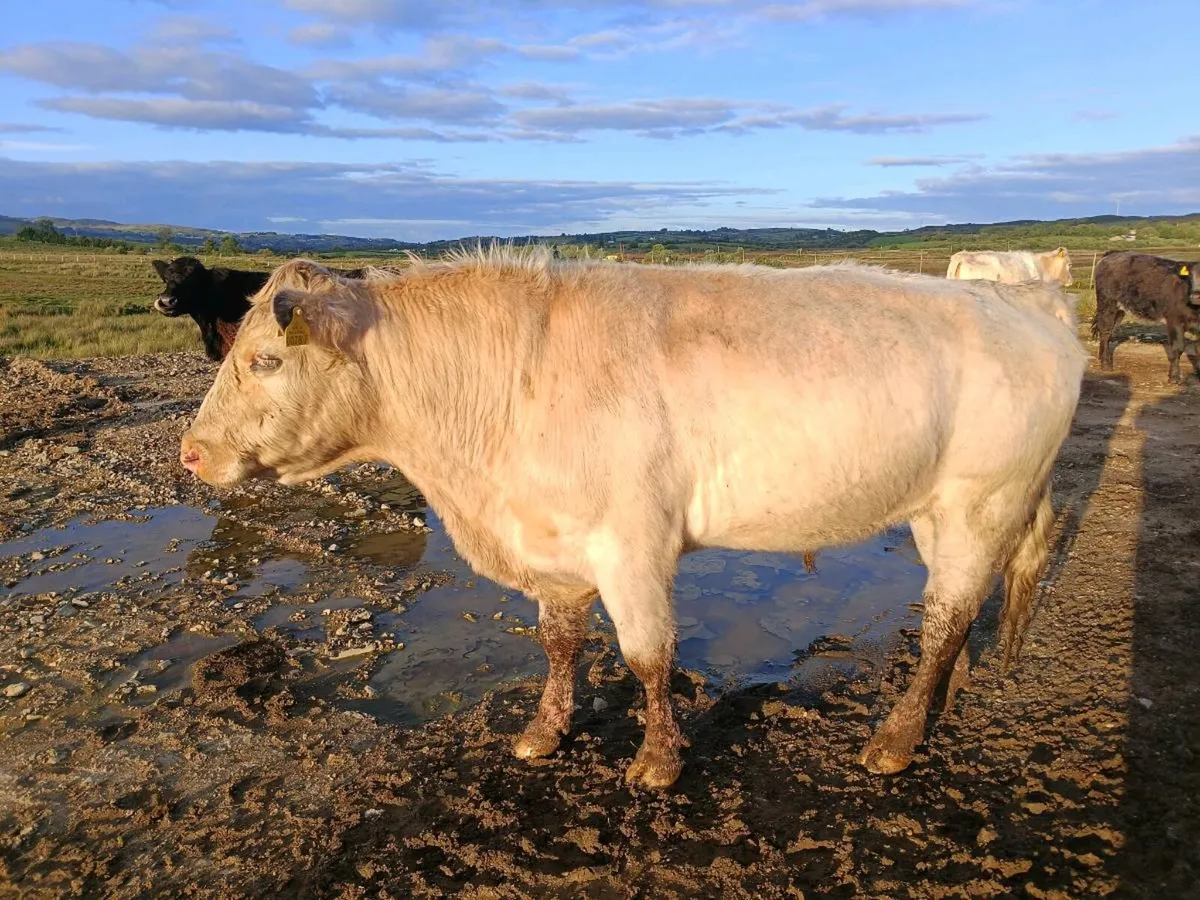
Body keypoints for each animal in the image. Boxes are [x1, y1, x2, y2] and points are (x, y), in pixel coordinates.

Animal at [178, 248, 1087, 790]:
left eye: (265, 358)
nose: (190, 453)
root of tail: (1026, 299)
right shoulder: (554, 543)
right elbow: (558, 644)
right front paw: (543, 732)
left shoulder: (632, 543)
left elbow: (649, 657)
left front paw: (655, 758)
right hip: (945, 508)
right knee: (964, 606)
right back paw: (946, 694)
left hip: (981, 499)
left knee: (945, 614)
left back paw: (897, 737)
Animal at [1090, 250, 1200, 384]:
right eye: (1190, 278)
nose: (1195, 296)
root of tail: (1113, 253)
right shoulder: (1174, 320)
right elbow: (1177, 348)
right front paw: (1174, 377)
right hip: (1107, 302)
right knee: (1105, 331)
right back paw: (1106, 365)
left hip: (1120, 309)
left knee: (1109, 331)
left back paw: (1102, 357)